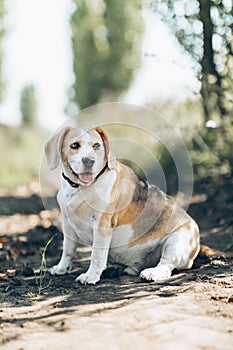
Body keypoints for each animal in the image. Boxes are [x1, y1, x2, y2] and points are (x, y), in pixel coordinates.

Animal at [44, 126, 199, 284]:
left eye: (96, 146)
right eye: (74, 145)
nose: (89, 161)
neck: (80, 187)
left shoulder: (102, 225)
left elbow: (96, 254)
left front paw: (91, 275)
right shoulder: (67, 224)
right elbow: (68, 250)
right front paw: (61, 268)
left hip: (176, 240)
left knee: (166, 265)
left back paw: (152, 272)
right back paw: (114, 269)